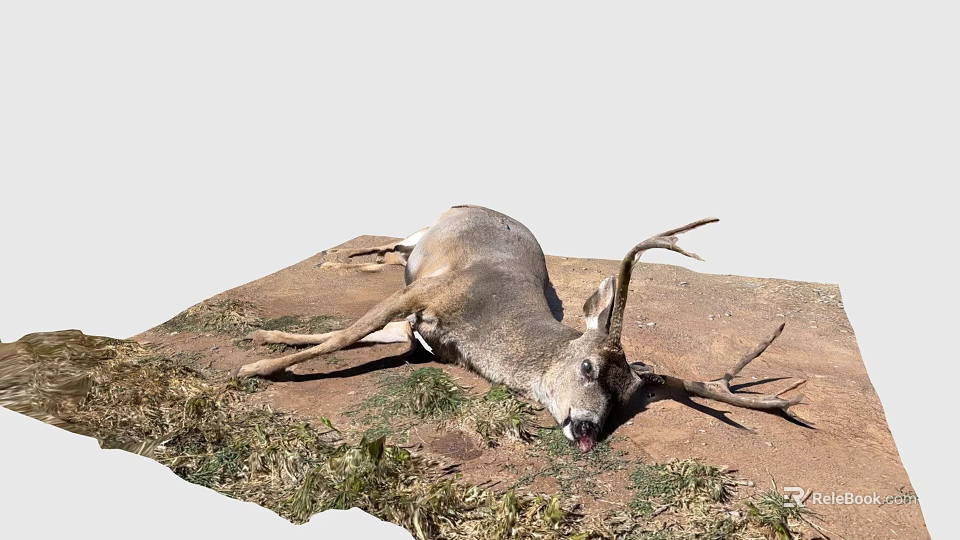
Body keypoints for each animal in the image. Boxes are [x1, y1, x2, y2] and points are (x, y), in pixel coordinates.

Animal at [234, 205, 805, 452]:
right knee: (393, 241)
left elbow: (356, 336)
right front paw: (255, 367)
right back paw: (348, 253)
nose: (588, 430)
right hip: (422, 232)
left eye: (627, 400)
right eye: (587, 366)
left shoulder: (423, 338)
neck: (482, 322)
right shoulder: (425, 293)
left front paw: (264, 341)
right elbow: (342, 335)